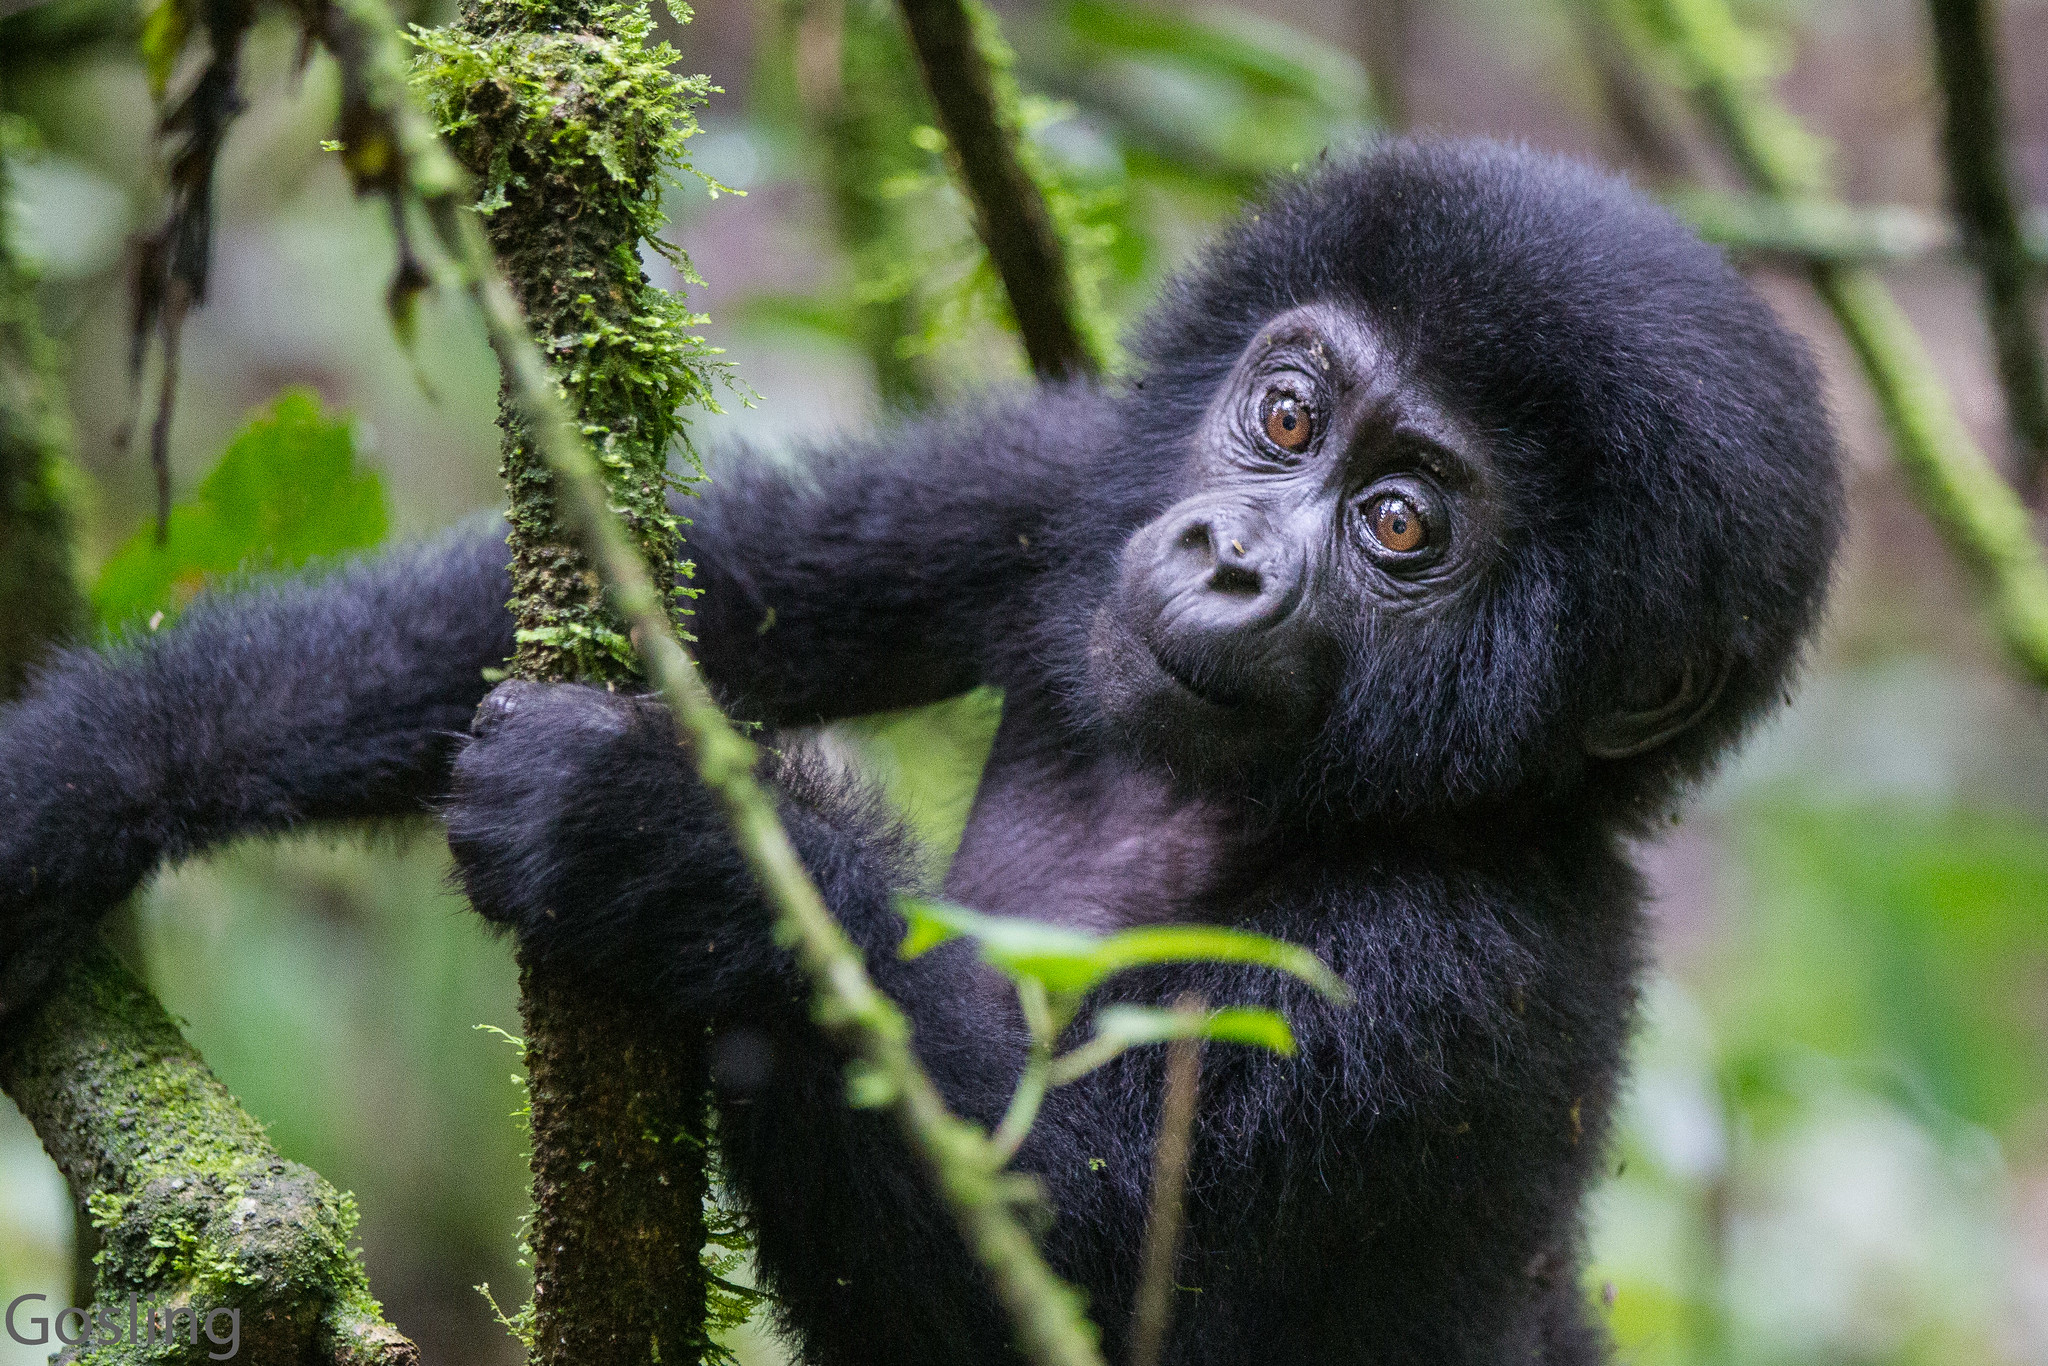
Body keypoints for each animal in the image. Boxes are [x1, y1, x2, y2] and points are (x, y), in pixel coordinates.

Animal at [0, 141, 1843, 1366]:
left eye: (1402, 524)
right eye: (1287, 414)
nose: (1231, 557)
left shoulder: (1475, 962)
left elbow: (1064, 1285)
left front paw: (658, 842)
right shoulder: (1057, 488)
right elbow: (712, 581)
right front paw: (62, 784)